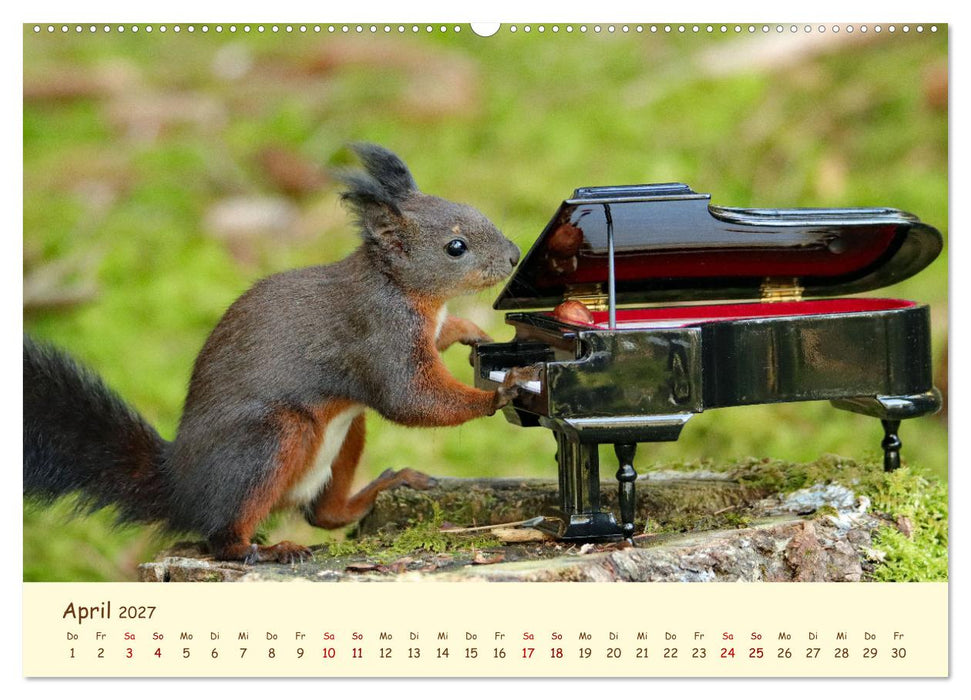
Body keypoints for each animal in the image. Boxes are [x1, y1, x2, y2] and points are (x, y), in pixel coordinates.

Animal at [24, 143, 537, 564]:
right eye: (456, 247)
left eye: (476, 211)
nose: (515, 256)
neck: (400, 286)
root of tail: (180, 487)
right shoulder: (379, 332)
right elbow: (411, 399)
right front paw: (502, 391)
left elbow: (442, 340)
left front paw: (472, 331)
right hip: (272, 439)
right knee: (224, 534)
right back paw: (262, 550)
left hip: (346, 431)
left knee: (324, 514)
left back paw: (386, 485)